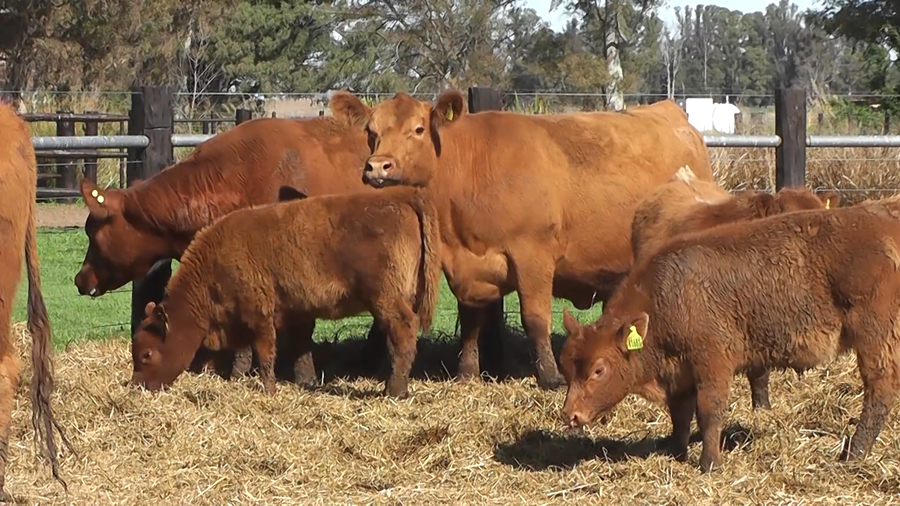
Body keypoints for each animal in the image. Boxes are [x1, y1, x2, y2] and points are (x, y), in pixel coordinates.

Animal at [130, 185, 441, 398]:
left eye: (147, 354)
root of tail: (401, 195)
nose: (138, 386)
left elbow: (265, 351)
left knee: (403, 332)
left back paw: (394, 389)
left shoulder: (258, 314)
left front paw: (268, 388)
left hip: (386, 300)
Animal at [331, 89, 715, 389]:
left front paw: (550, 375)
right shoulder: (466, 266)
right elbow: (471, 320)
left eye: (418, 129)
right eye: (371, 131)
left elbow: (535, 317)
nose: (378, 166)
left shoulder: (533, 255)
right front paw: (466, 372)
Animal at [559, 203, 900, 472]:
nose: (570, 415)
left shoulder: (712, 363)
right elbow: (680, 414)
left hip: (875, 336)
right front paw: (676, 451)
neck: (668, 296)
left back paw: (854, 453)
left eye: (599, 370)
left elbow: (709, 411)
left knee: (880, 390)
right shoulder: (679, 374)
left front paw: (710, 463)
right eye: (567, 367)